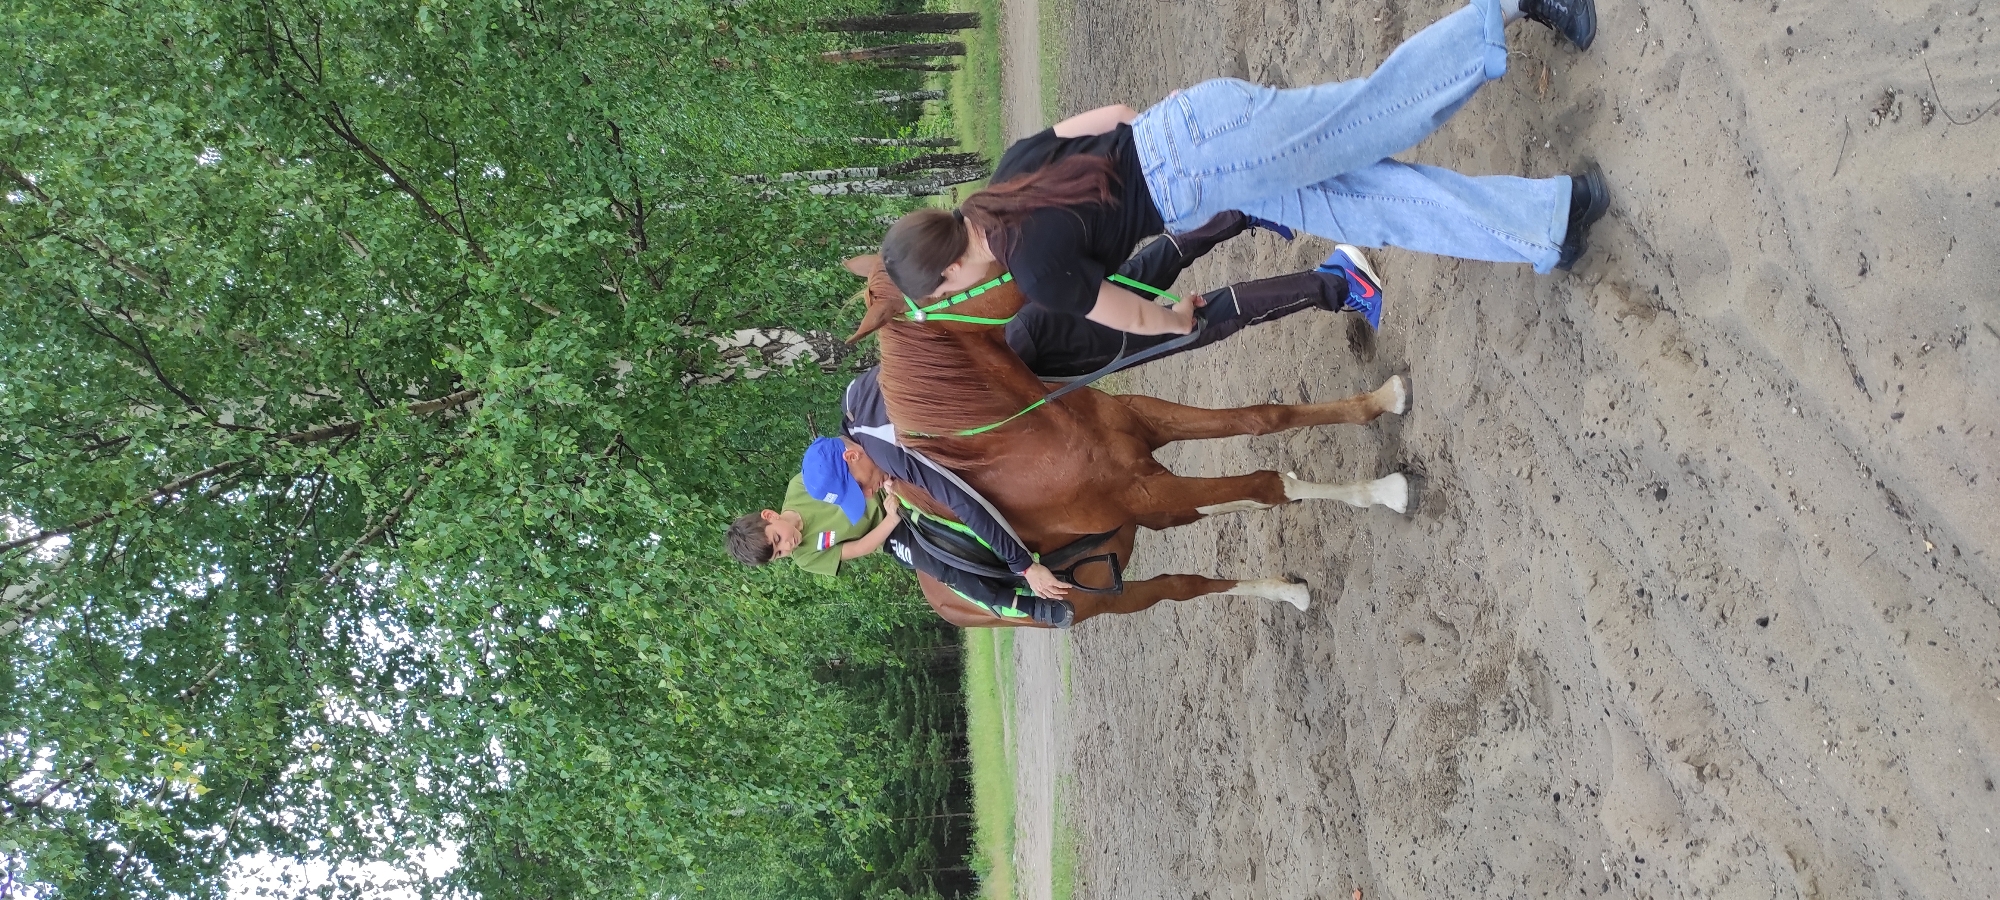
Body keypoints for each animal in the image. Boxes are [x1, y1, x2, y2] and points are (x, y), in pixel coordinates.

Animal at [841, 255, 1414, 627]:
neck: (1022, 438)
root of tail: (943, 596)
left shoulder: (1149, 427)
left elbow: (1263, 417)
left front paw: (1384, 399)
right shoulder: (1147, 493)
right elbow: (1268, 485)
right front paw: (1385, 491)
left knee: (1185, 582)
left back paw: (1283, 589)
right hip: (1103, 598)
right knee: (1177, 588)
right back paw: (1286, 590)